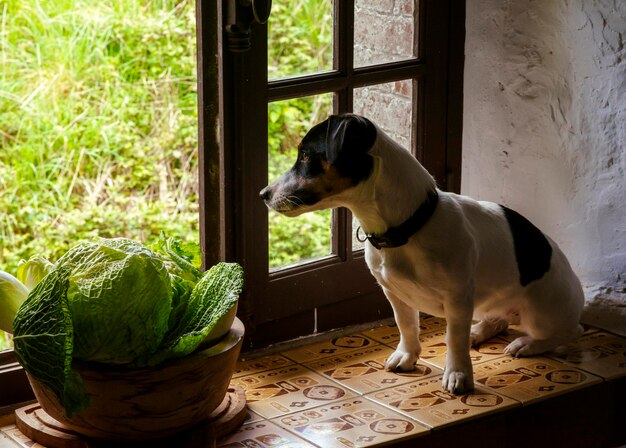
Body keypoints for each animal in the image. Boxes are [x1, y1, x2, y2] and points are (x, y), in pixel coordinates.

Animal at [260, 114, 584, 394]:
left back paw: (526, 344)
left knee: (567, 332)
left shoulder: (458, 297)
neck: (409, 229)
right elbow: (406, 325)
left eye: (305, 156)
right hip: (490, 304)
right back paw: (479, 331)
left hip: (541, 313)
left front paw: (458, 374)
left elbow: (454, 339)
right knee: (497, 320)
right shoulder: (394, 292)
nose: (263, 194)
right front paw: (407, 355)